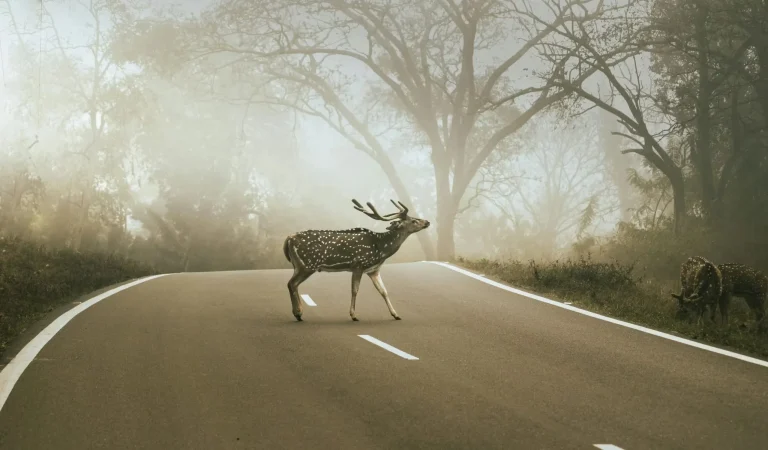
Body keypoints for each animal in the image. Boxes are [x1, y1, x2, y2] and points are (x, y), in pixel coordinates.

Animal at [282, 199, 430, 322]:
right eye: (413, 221)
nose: (427, 222)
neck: (381, 249)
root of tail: (288, 239)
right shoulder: (358, 265)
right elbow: (355, 290)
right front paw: (353, 315)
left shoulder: (373, 270)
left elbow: (384, 291)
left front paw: (396, 314)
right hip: (307, 265)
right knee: (292, 283)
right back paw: (298, 313)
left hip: (299, 265)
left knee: (292, 284)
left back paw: (298, 313)